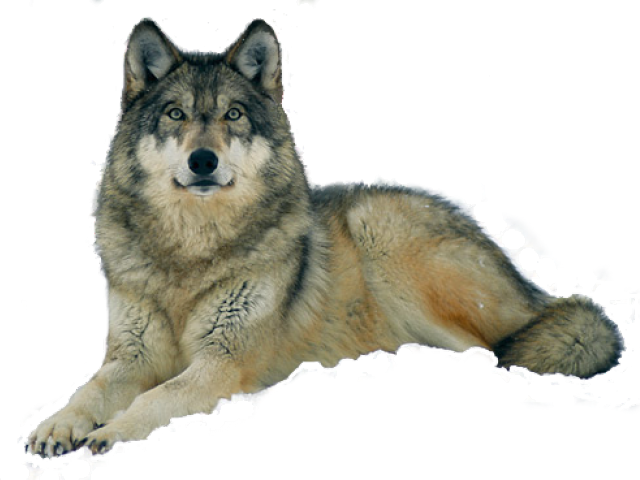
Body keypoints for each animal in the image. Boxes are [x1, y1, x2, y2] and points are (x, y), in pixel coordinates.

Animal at [27, 17, 624, 458]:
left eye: (233, 115)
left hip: (386, 240)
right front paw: (57, 426)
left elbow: (156, 398)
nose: (203, 160)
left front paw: (106, 433)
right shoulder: (130, 357)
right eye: (176, 114)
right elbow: (89, 389)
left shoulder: (224, 361)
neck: (192, 249)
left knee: (498, 339)